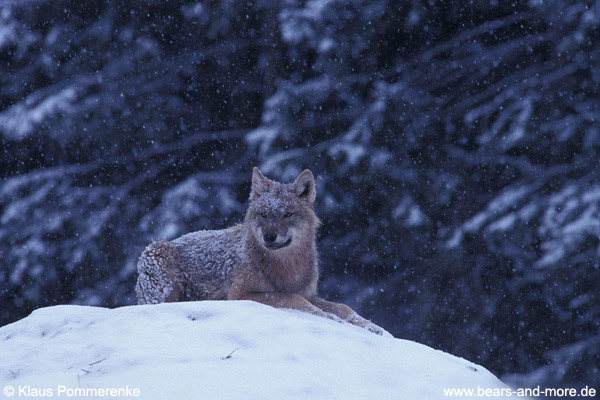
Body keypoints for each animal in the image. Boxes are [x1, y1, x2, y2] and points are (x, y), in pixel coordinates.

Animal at [136, 167, 386, 336]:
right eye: (264, 214)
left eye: (287, 214)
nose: (269, 237)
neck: (287, 268)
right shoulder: (240, 295)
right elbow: (296, 300)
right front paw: (333, 320)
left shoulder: (308, 293)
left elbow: (343, 307)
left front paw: (374, 328)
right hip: (156, 255)